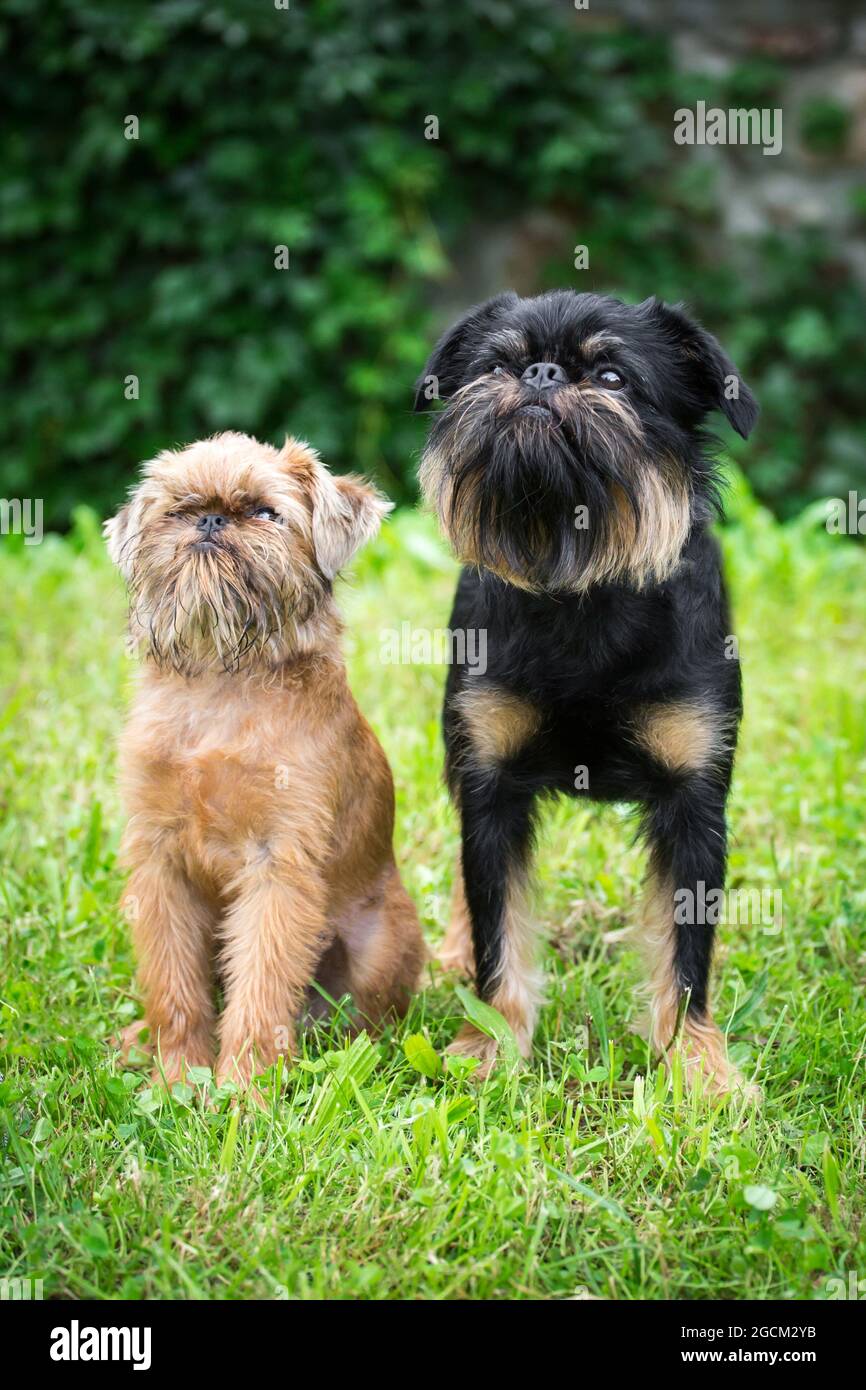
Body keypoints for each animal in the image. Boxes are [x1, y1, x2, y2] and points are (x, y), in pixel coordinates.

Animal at [107, 428, 425, 1089]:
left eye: (265, 513)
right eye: (177, 509)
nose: (210, 519)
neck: (221, 679)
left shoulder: (277, 866)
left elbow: (259, 988)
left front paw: (242, 1091)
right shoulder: (159, 862)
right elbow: (172, 981)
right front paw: (178, 1073)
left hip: (380, 939)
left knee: (362, 1014)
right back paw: (139, 1039)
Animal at [419, 296, 756, 1095]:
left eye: (610, 376)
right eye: (497, 366)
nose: (541, 374)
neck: (579, 587)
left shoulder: (696, 804)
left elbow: (686, 954)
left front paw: (696, 1064)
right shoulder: (490, 789)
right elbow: (498, 931)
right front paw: (491, 1042)